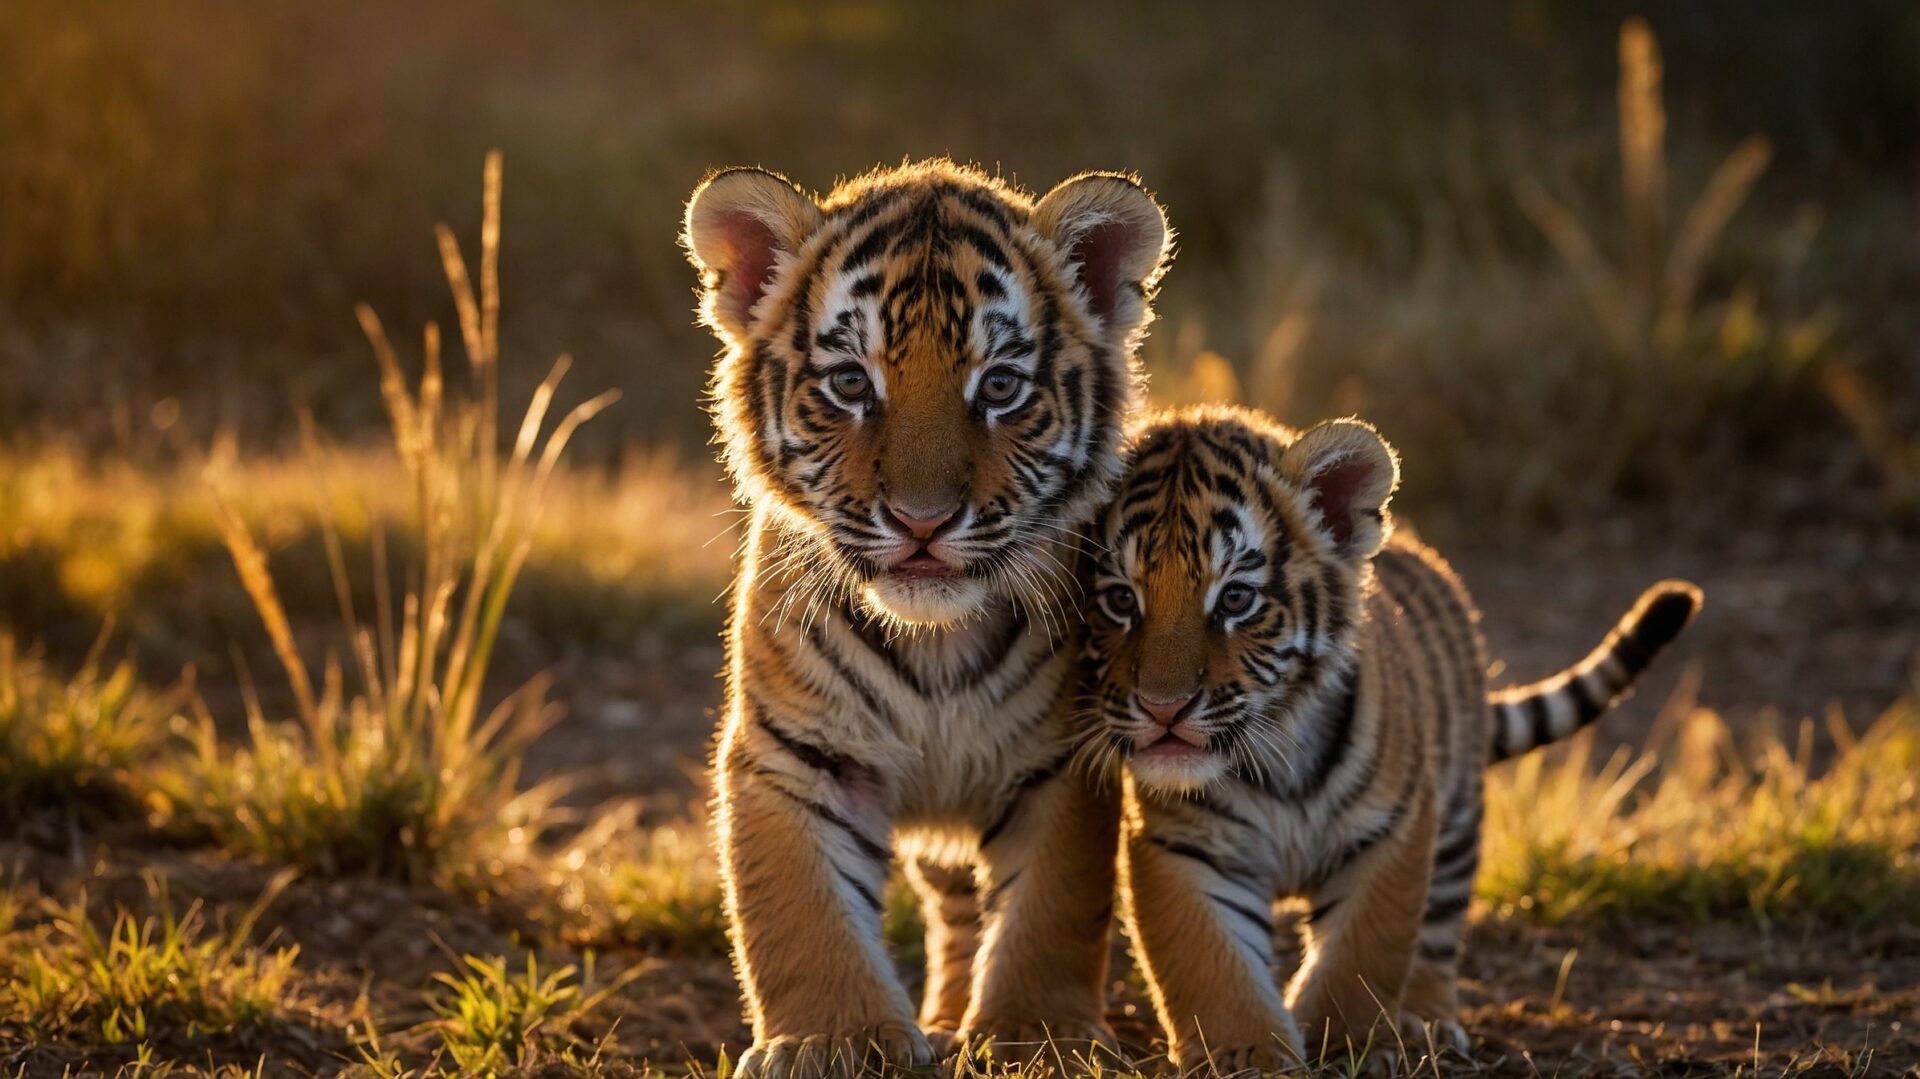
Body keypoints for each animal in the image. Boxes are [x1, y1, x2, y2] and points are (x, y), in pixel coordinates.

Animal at [681, 158, 1173, 1077]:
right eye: (851, 383)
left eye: (1000, 387)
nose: (922, 521)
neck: (935, 639)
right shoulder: (798, 754)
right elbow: (799, 909)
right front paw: (834, 1040)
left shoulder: (1061, 762)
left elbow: (1052, 906)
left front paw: (1032, 1035)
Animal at [1076, 404, 1700, 1071]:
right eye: (1118, 599)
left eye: (1236, 598)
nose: (1162, 708)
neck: (1277, 760)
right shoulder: (1183, 849)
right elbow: (1210, 964)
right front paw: (1246, 1057)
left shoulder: (1393, 829)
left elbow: (1364, 954)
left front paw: (1348, 1046)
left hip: (1457, 826)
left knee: (1438, 935)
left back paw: (1426, 1020)